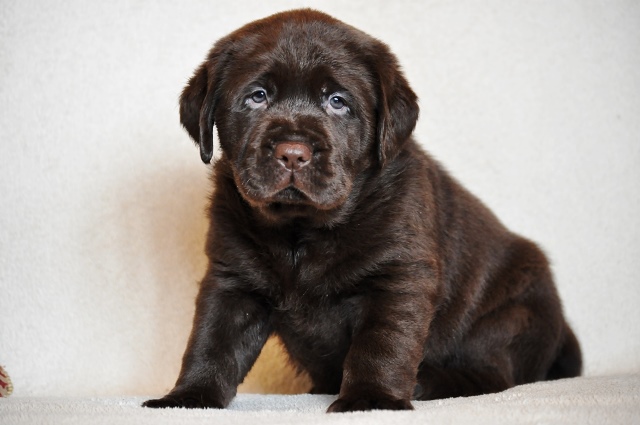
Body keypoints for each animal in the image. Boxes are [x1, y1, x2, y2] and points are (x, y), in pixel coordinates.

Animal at [142, 7, 584, 410]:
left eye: (338, 102)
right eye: (257, 97)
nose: (293, 153)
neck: (301, 232)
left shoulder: (398, 278)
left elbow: (381, 345)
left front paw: (371, 400)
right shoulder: (232, 279)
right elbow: (212, 341)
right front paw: (188, 398)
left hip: (509, 318)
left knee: (494, 375)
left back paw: (427, 383)